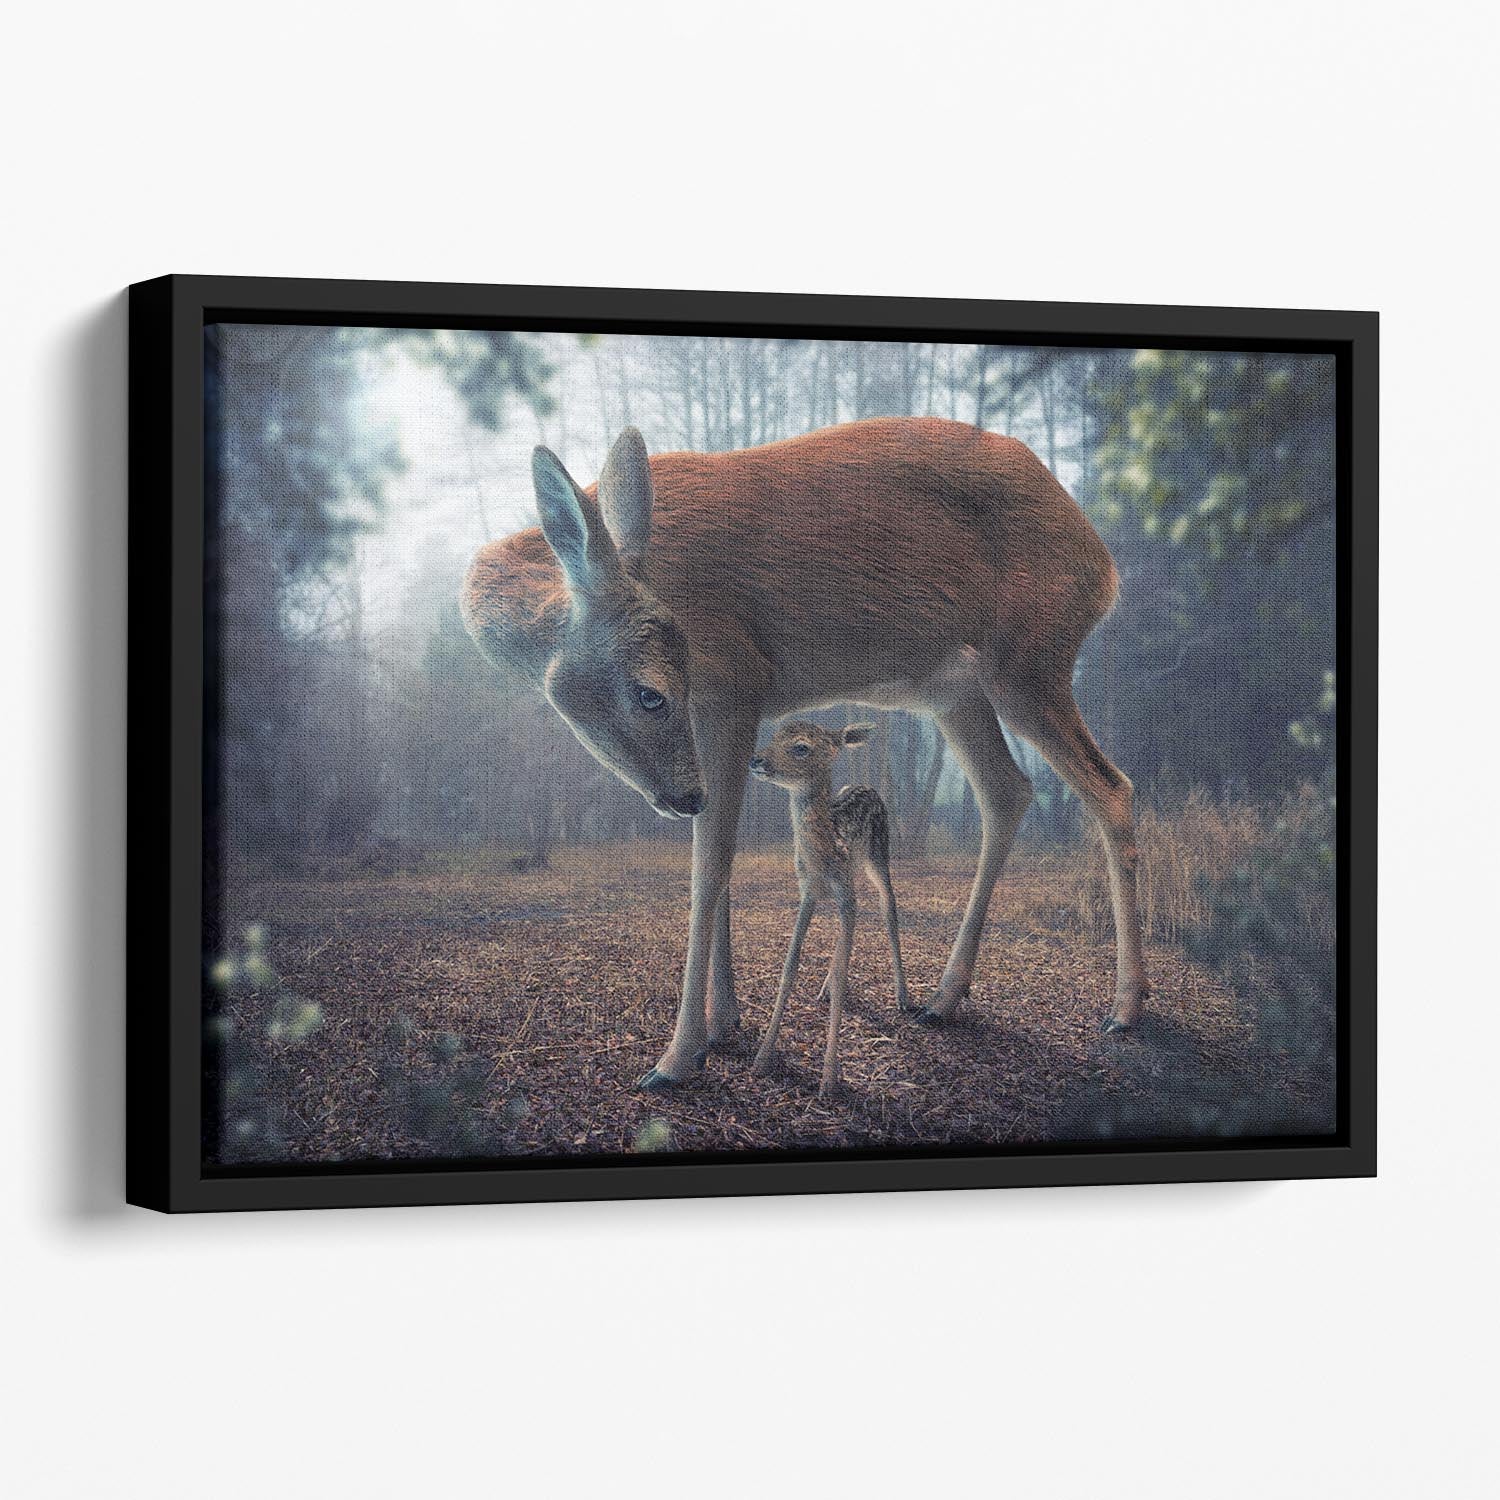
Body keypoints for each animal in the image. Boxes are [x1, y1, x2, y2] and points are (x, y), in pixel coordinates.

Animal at [748, 719, 913, 1098]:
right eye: (774, 735)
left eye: (801, 747)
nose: (756, 759)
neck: (823, 855)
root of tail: (867, 785)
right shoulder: (808, 891)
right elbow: (790, 964)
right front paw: (762, 1058)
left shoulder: (843, 892)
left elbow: (841, 965)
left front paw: (829, 1079)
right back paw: (824, 987)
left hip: (877, 856)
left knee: (888, 909)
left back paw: (903, 996)